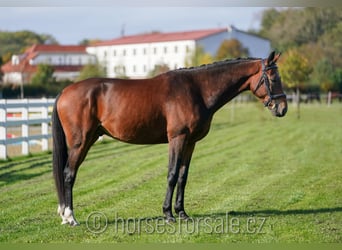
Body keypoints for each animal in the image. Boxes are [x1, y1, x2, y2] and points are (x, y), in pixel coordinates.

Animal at [52, 50, 288, 225]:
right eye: (274, 78)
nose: (282, 108)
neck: (197, 90)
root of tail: (64, 91)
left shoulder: (190, 142)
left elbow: (183, 176)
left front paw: (182, 213)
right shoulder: (178, 138)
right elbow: (172, 174)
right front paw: (168, 214)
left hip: (90, 139)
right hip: (80, 142)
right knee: (69, 174)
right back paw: (70, 217)